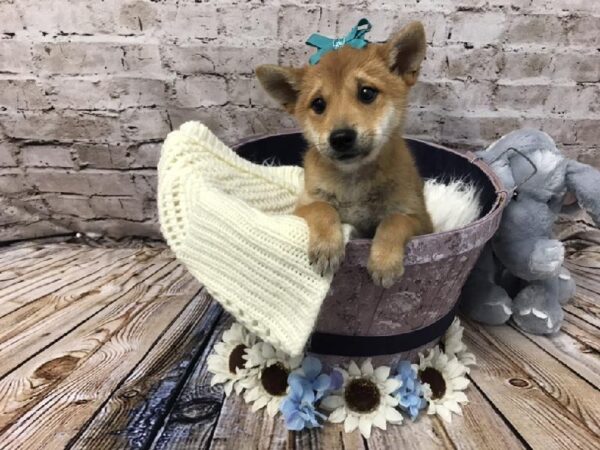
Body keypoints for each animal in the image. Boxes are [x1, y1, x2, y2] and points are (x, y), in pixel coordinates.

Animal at [255, 22, 434, 288]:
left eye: (367, 93)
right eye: (318, 104)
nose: (340, 137)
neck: (353, 180)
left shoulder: (422, 221)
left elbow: (394, 220)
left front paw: (384, 261)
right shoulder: (303, 207)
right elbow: (322, 208)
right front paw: (327, 247)